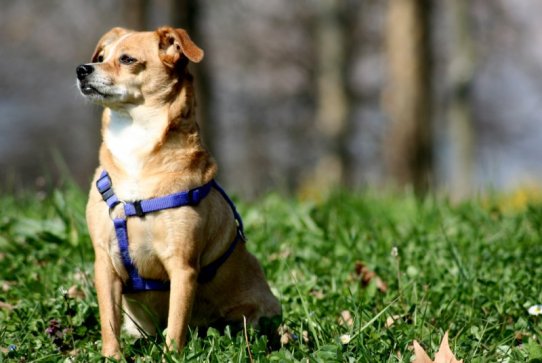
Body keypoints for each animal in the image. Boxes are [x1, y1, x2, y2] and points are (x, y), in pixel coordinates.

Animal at [77, 26, 280, 358]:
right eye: (101, 56)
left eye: (127, 59)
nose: (82, 69)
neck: (136, 148)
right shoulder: (104, 263)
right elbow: (109, 319)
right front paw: (111, 357)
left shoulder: (182, 267)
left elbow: (175, 324)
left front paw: (170, 355)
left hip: (248, 318)